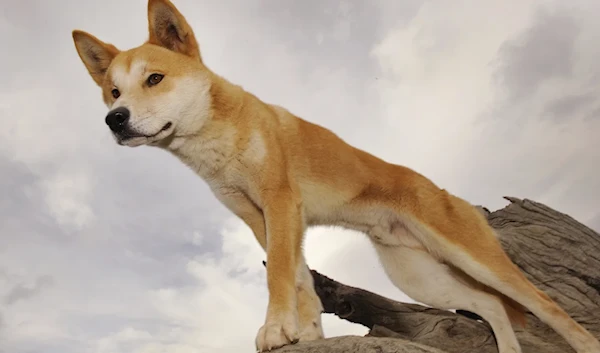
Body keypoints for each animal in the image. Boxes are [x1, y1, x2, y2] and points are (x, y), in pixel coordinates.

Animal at [72, 1, 600, 350]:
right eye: (113, 91)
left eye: (154, 79)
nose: (115, 119)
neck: (215, 139)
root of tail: (440, 189)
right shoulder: (258, 218)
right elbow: (301, 279)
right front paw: (305, 332)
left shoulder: (281, 203)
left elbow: (279, 275)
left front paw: (277, 329)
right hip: (419, 277)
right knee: (488, 306)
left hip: (472, 257)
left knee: (546, 305)